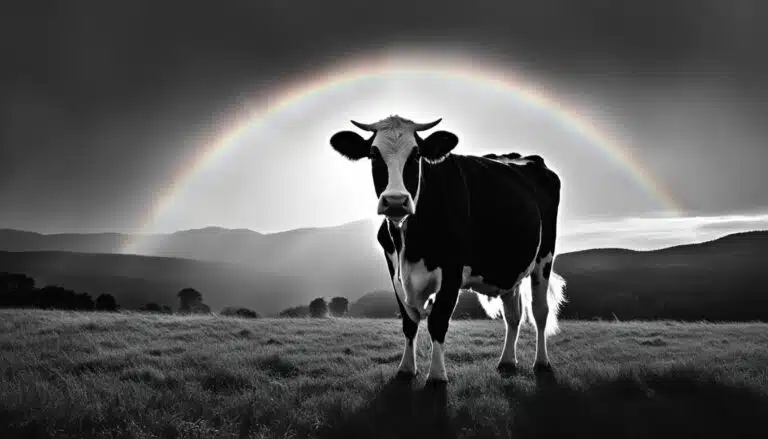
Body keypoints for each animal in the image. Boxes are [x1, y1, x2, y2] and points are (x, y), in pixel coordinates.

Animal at [329, 115, 566, 383]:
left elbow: (438, 321)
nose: (396, 201)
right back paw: (507, 361)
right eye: (373, 155)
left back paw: (542, 362)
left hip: (544, 257)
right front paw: (406, 368)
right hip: (509, 266)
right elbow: (409, 322)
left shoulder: (453, 272)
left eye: (416, 155)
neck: (409, 245)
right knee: (513, 315)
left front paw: (436, 376)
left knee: (539, 311)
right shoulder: (394, 270)